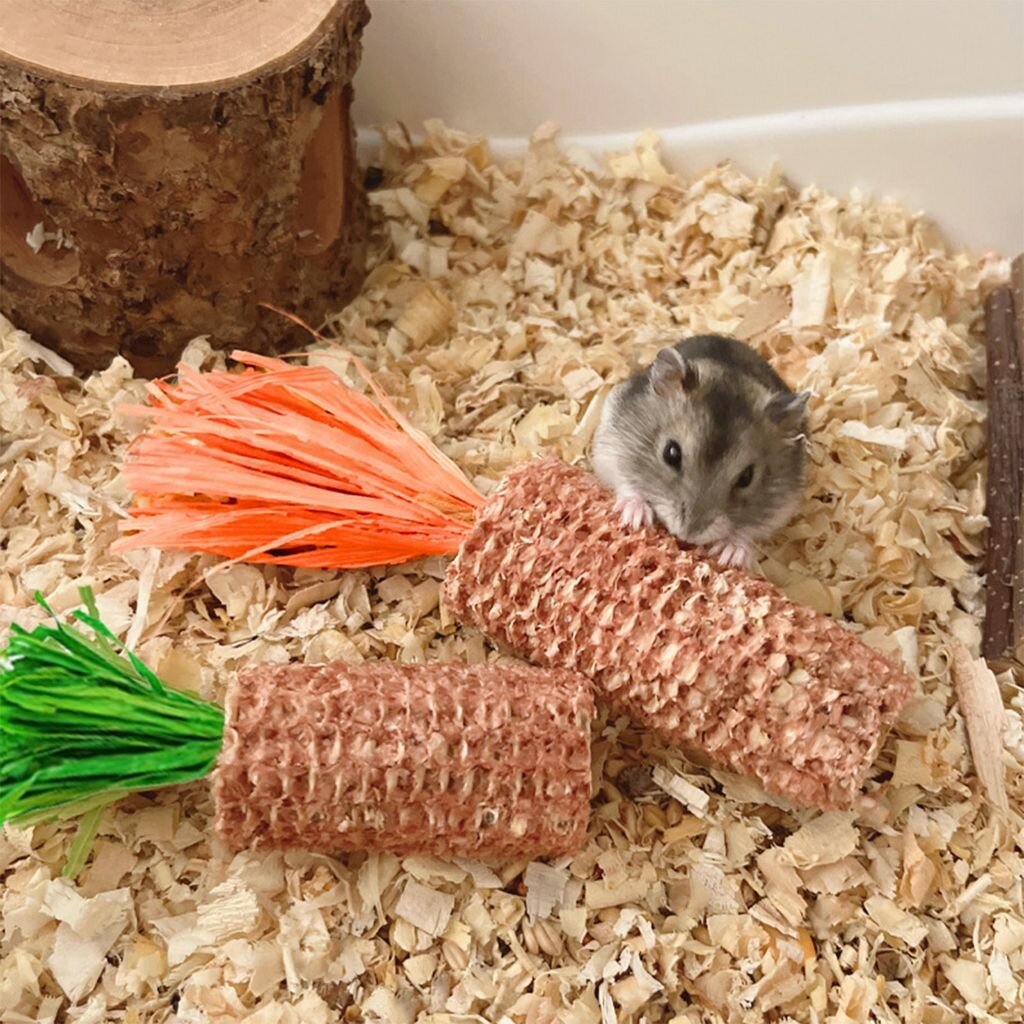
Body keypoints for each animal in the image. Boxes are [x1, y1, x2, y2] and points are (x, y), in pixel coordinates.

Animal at [591, 334, 810, 569]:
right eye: (671, 453)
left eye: (747, 477)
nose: (688, 534)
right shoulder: (613, 446)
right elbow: (627, 482)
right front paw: (635, 519)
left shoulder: (783, 503)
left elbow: (748, 530)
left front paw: (730, 553)